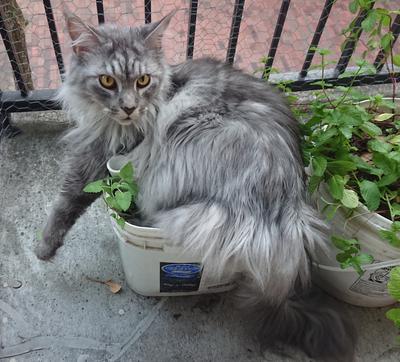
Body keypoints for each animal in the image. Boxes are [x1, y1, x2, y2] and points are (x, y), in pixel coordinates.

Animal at [36, 12, 356, 362]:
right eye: (107, 81)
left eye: (143, 81)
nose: (129, 107)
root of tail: (283, 213)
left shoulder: (100, 154)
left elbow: (67, 199)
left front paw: (44, 248)